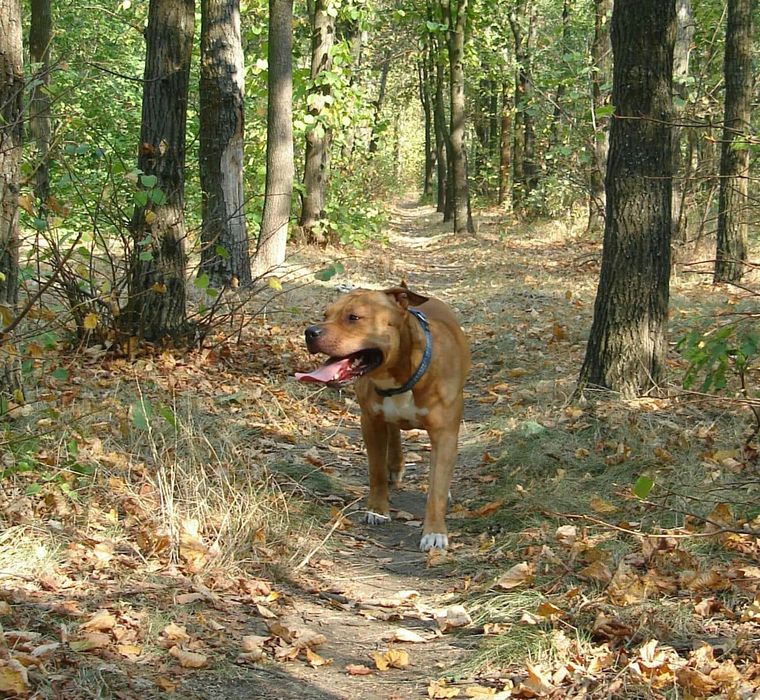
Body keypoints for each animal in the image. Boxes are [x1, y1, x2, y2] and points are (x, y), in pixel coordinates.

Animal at [296, 286, 470, 552]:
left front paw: (434, 533)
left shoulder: (445, 434)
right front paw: (378, 510)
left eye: (354, 317)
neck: (403, 374)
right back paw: (395, 465)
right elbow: (375, 470)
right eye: (325, 315)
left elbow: (437, 489)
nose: (310, 332)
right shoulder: (371, 422)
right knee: (394, 433)